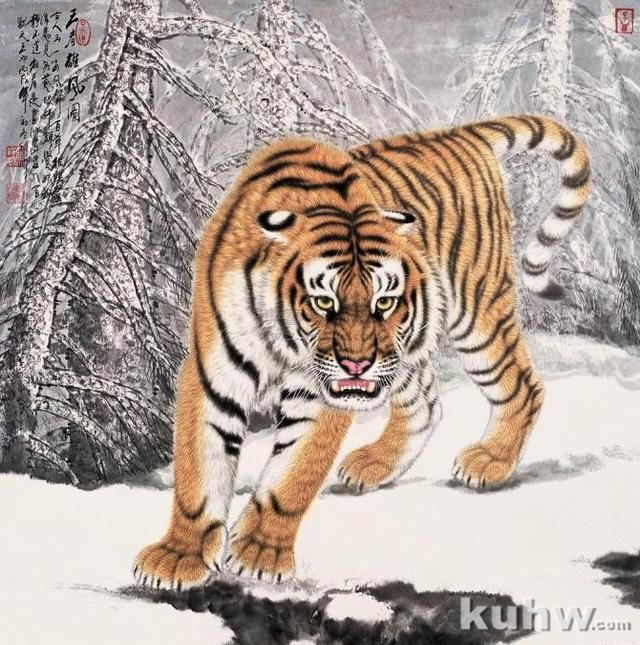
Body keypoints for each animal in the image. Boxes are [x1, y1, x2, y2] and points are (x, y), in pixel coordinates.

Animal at [133, 114, 590, 590]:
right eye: (323, 301)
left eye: (384, 302)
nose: (356, 364)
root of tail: (458, 135)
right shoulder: (214, 375)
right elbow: (199, 473)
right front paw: (178, 556)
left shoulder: (321, 394)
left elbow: (294, 473)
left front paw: (261, 552)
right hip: (407, 353)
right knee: (426, 406)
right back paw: (374, 464)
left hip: (473, 314)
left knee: (523, 385)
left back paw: (490, 461)